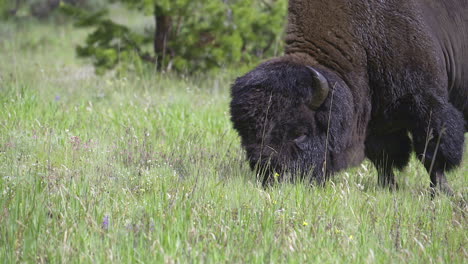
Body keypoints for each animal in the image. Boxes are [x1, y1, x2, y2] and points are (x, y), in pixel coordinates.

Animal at [231, 0, 468, 194]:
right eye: (247, 136)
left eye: (301, 134)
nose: (272, 178)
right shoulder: (375, 122)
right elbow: (383, 156)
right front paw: (388, 188)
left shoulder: (427, 106)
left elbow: (432, 152)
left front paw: (441, 193)